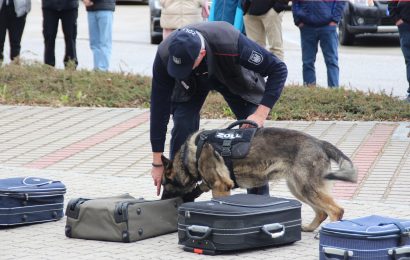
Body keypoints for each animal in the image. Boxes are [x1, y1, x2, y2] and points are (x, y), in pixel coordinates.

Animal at [159, 126, 358, 232]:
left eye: (164, 184)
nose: (161, 201)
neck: (190, 156)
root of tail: (320, 142)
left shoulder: (221, 187)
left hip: (306, 188)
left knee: (336, 210)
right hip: (298, 189)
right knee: (322, 212)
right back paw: (309, 228)